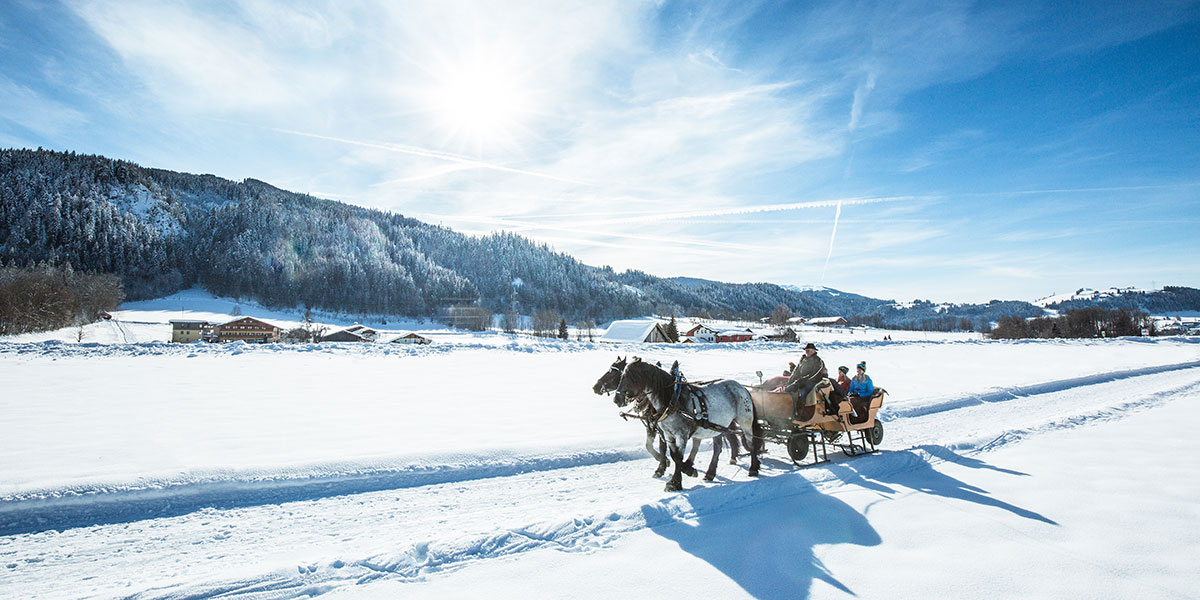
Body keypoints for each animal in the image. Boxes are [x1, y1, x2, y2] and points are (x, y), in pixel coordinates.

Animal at [619, 357, 758, 489]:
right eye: (622, 375)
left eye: (632, 375)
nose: (618, 398)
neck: (673, 400)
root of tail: (742, 387)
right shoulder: (668, 434)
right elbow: (673, 455)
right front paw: (681, 472)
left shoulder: (681, 434)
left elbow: (678, 457)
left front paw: (675, 482)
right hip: (716, 427)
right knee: (717, 448)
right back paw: (710, 473)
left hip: (745, 422)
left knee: (751, 443)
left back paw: (753, 468)